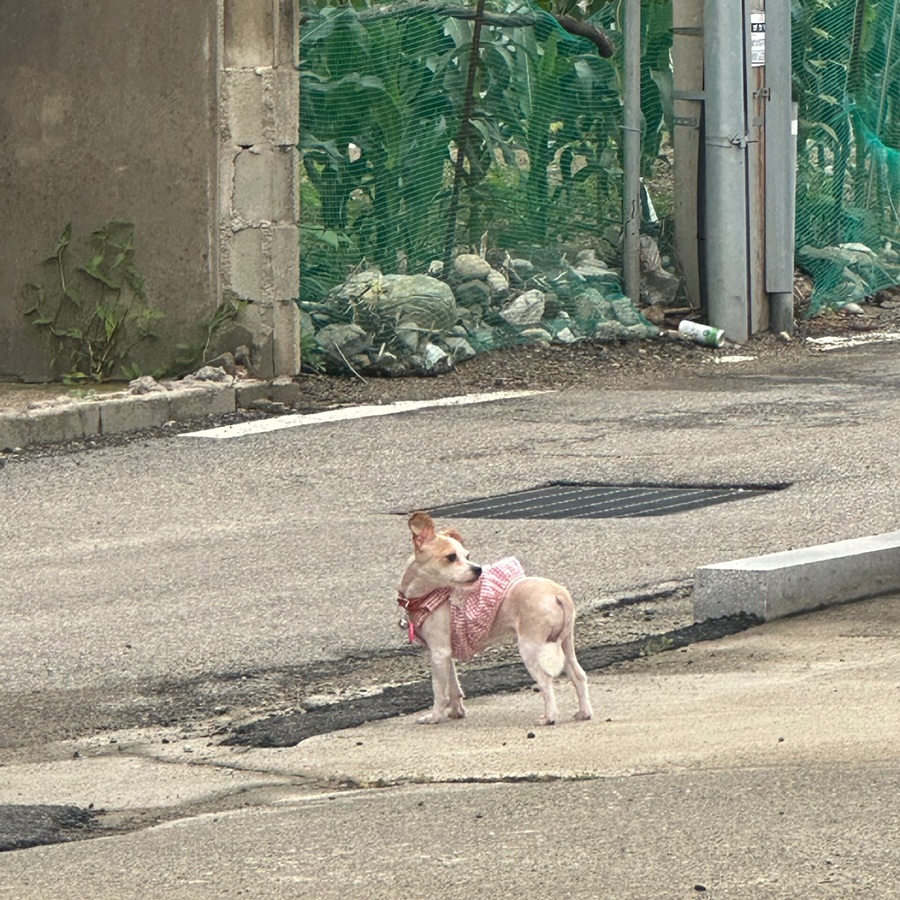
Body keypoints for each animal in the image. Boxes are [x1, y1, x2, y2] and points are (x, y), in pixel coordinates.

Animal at [398, 510, 596, 728]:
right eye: (451, 557)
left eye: (467, 556)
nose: (477, 569)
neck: (426, 597)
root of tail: (557, 593)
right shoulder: (446, 654)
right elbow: (453, 685)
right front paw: (457, 711)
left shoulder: (439, 653)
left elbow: (439, 690)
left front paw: (434, 716)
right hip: (564, 644)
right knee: (578, 675)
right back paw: (584, 712)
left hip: (532, 648)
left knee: (545, 681)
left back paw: (549, 717)